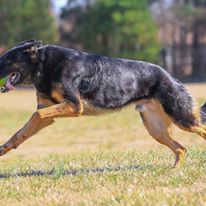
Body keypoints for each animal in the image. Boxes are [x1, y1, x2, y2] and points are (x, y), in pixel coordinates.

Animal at [0, 39, 206, 167]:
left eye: (6, 60)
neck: (44, 65)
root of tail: (171, 77)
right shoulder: (49, 113)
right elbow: (25, 129)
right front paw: (6, 147)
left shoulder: (75, 106)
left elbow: (36, 115)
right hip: (156, 130)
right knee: (181, 149)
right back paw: (174, 170)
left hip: (182, 119)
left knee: (200, 130)